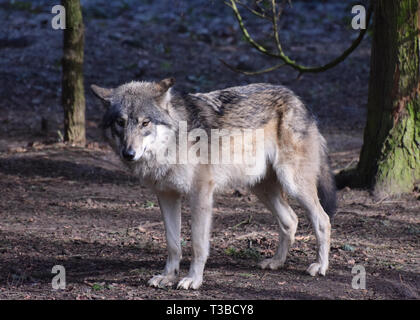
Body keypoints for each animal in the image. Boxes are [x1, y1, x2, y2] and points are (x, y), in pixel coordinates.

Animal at [90, 78, 336, 290]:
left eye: (145, 123)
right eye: (120, 122)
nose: (128, 153)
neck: (173, 143)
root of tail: (297, 98)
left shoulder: (200, 195)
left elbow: (198, 245)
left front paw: (193, 279)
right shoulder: (167, 195)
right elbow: (173, 244)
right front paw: (168, 276)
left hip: (293, 183)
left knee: (322, 219)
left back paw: (320, 266)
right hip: (261, 188)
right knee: (290, 220)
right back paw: (276, 262)